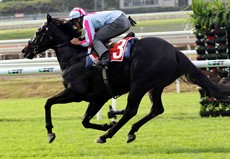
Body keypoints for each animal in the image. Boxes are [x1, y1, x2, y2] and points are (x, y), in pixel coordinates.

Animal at [22, 14, 230, 144]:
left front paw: (50, 132)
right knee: (156, 109)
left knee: (131, 110)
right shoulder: (98, 97)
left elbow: (48, 103)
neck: (76, 56)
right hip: (155, 86)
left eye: (38, 32)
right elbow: (85, 121)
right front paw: (107, 123)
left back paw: (106, 136)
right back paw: (129, 131)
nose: (25, 50)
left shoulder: (76, 93)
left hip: (139, 84)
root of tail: (175, 51)